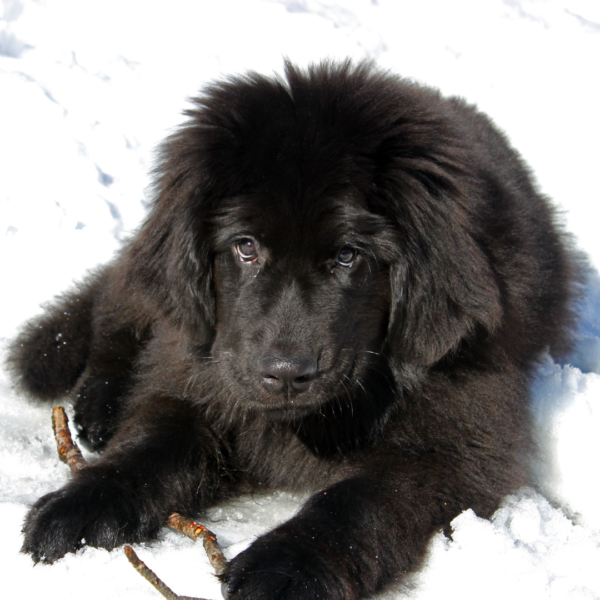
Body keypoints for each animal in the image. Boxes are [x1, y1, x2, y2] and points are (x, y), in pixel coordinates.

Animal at [11, 62, 580, 600]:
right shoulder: (195, 375)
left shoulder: (454, 445)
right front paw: (83, 503)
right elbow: (152, 442)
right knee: (116, 314)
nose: (285, 374)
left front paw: (288, 565)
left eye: (348, 255)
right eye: (246, 246)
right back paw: (100, 404)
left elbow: (355, 501)